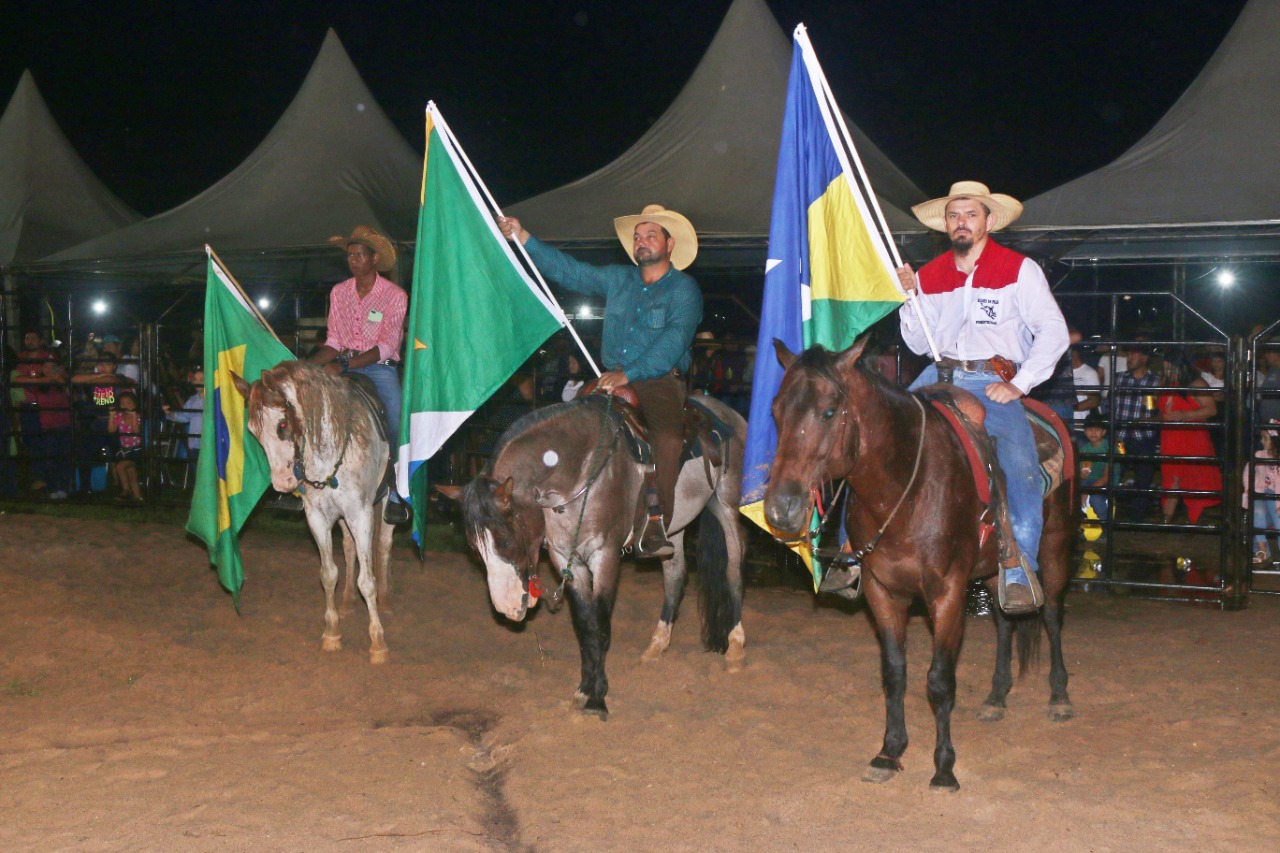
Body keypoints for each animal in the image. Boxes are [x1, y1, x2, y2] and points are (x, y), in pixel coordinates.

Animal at [442, 394, 747, 717]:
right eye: (474, 549)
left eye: (507, 537)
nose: (507, 608)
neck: (577, 469)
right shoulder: (566, 559)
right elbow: (584, 624)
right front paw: (584, 690)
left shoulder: (605, 555)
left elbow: (600, 624)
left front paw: (597, 699)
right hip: (675, 526)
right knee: (675, 579)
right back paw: (655, 647)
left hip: (727, 506)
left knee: (733, 572)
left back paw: (735, 649)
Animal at [762, 335, 1075, 788]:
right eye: (776, 410)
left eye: (829, 410)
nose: (780, 508)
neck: (907, 487)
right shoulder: (882, 591)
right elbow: (895, 674)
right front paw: (888, 752)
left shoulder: (946, 593)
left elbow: (940, 680)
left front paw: (944, 766)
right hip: (991, 569)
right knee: (1004, 620)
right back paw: (996, 697)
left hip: (1054, 548)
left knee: (1050, 611)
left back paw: (1059, 696)